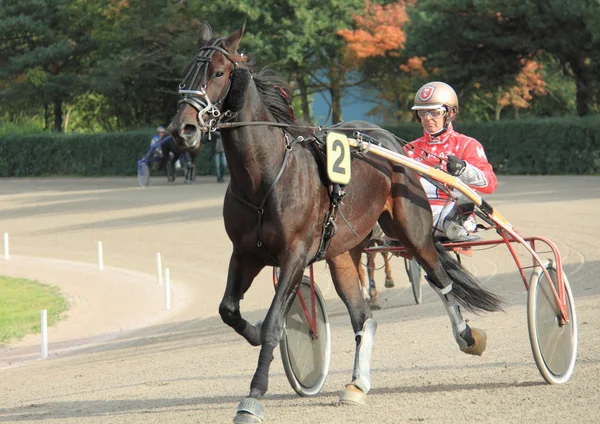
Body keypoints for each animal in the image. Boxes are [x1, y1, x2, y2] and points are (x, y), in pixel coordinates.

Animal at [165, 22, 502, 424]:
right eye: (185, 72)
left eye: (217, 72)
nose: (181, 129)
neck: (265, 175)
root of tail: (389, 142)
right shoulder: (245, 253)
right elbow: (229, 310)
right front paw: (253, 333)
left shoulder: (295, 254)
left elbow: (275, 322)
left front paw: (253, 397)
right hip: (343, 252)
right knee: (363, 317)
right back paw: (357, 384)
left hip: (412, 230)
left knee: (440, 278)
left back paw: (468, 336)